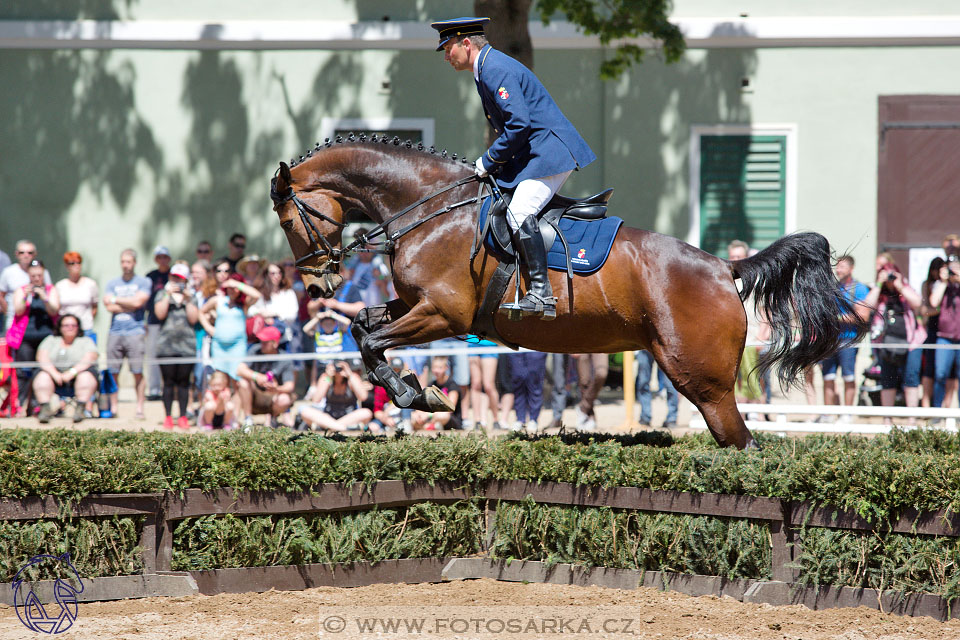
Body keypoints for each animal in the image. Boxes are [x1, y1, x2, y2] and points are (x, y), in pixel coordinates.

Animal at [268, 136, 864, 450]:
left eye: (288, 221)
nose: (317, 283)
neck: (429, 208)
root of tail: (725, 267)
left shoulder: (443, 315)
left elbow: (372, 342)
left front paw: (419, 394)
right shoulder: (417, 305)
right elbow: (361, 327)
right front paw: (414, 388)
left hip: (703, 381)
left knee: (741, 441)